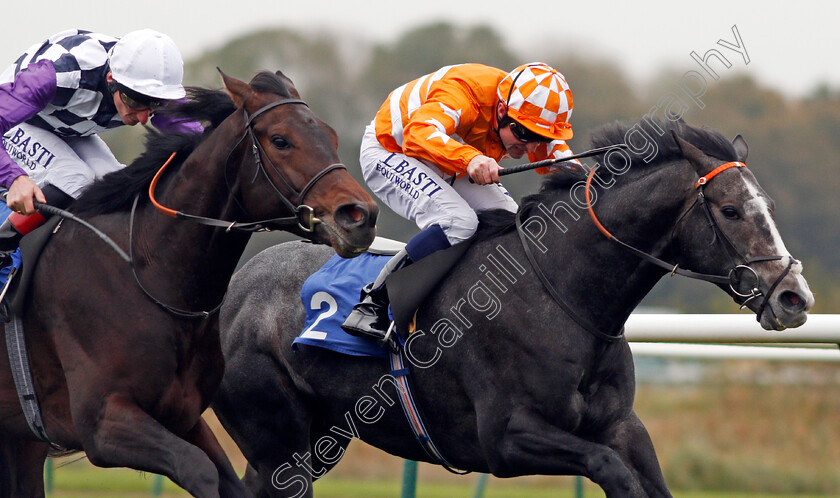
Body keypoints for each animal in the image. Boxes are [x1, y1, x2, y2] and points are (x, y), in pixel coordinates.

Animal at [0, 68, 378, 496]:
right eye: (280, 140)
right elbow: (197, 469)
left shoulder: (183, 416)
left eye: (331, 136)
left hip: (21, 438)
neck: (147, 273)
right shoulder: (102, 422)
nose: (360, 216)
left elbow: (228, 479)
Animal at [212, 118, 812, 496]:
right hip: (278, 442)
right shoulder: (505, 438)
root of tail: (234, 287)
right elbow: (612, 472)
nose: (794, 297)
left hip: (318, 440)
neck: (563, 294)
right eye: (731, 210)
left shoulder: (623, 426)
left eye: (769, 205)